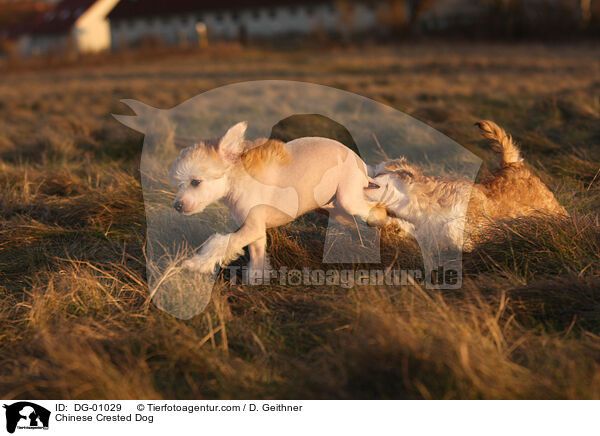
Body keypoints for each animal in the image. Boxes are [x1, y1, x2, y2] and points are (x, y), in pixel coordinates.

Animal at [170, 121, 394, 274]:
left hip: (349, 200)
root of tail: (362, 165)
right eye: (179, 183)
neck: (237, 179)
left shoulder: (252, 228)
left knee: (378, 211)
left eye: (195, 182)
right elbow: (257, 260)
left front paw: (196, 264)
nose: (177, 206)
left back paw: (390, 228)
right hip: (334, 208)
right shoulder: (256, 232)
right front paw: (256, 284)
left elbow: (220, 243)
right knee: (355, 225)